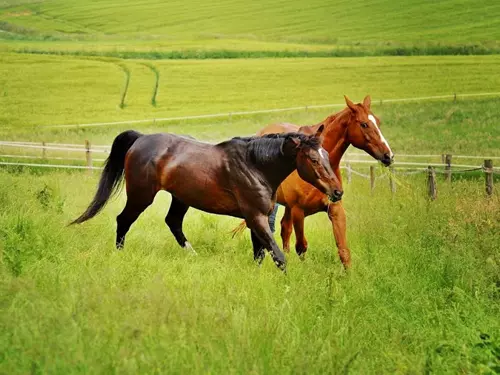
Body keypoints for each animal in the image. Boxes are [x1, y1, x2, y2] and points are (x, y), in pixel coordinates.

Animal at [71, 128, 344, 272]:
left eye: (326, 155)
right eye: (314, 159)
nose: (337, 192)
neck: (255, 165)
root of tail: (140, 138)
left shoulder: (259, 218)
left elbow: (260, 253)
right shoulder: (255, 217)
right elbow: (277, 255)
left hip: (180, 198)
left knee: (173, 222)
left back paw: (192, 255)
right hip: (141, 196)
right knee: (123, 220)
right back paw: (120, 253)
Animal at [234, 95, 394, 268]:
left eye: (378, 122)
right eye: (364, 124)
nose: (388, 156)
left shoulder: (335, 209)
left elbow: (343, 250)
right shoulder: (298, 211)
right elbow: (301, 246)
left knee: (284, 229)